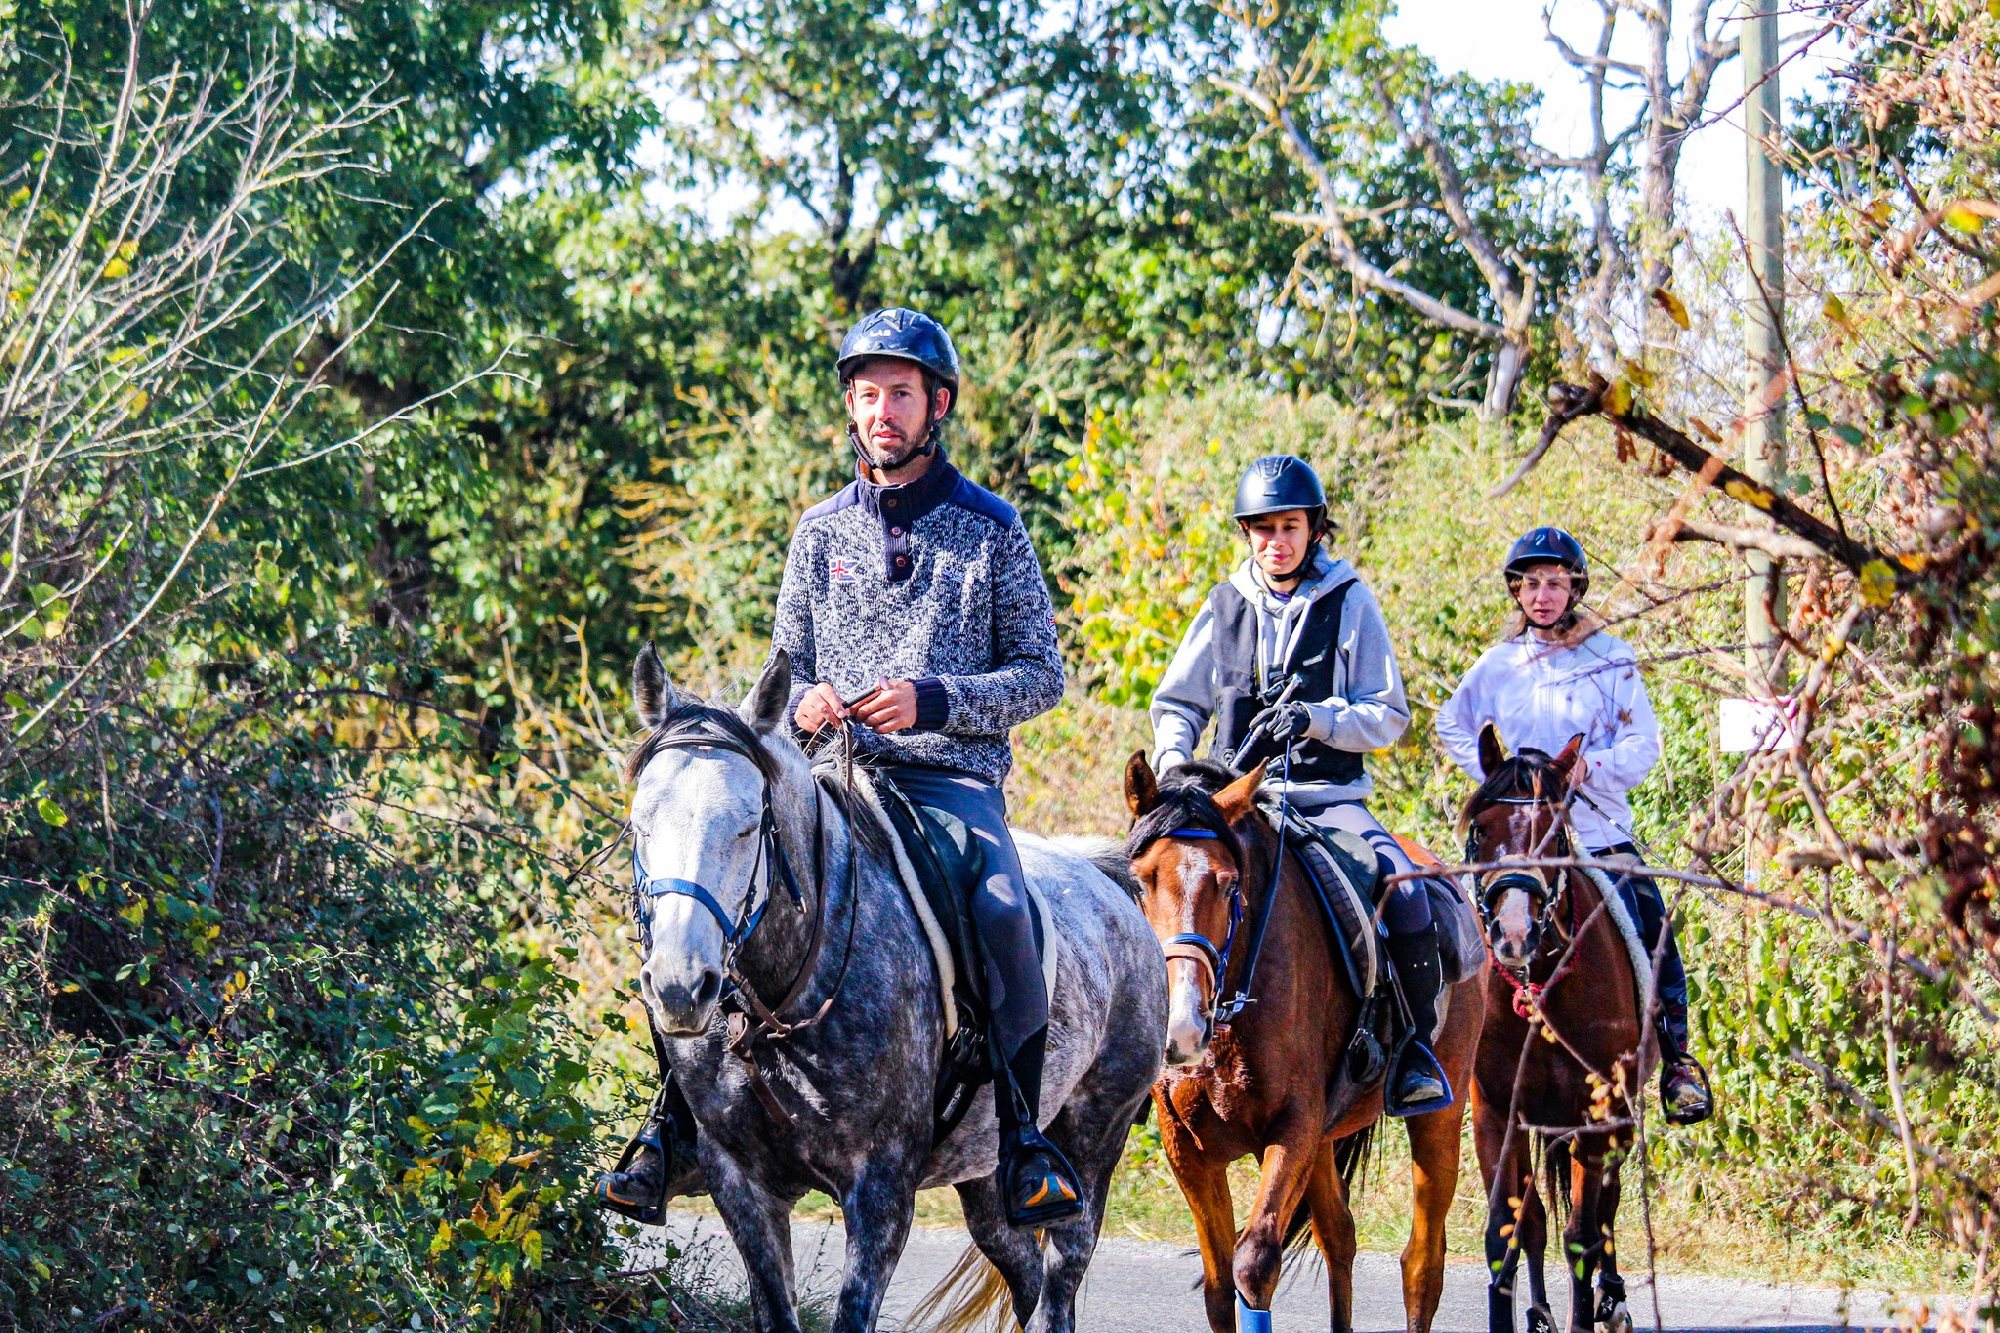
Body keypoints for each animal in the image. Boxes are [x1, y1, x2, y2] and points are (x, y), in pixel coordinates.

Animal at [616, 640, 1168, 1320]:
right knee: (1025, 1273)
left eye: (748, 824)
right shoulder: (741, 1186)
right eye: (640, 824)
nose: (679, 987)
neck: (783, 1004)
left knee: (1059, 1287)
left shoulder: (879, 1190)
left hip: (1093, 1147)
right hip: (984, 1179)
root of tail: (1109, 879)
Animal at [1128, 752, 1488, 1320]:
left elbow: (1253, 1263)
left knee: (1422, 1263)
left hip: (1438, 1119)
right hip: (1324, 1142)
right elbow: (1218, 1286)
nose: (1181, 1027)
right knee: (1338, 1236)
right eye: (1141, 882)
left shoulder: (1292, 1128)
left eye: (1230, 885)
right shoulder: (1188, 1148)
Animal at [1464, 728, 1648, 1328]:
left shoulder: (1598, 1116)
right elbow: (1510, 1230)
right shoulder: (1498, 1113)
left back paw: (1610, 1300)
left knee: (1605, 1208)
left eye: (1554, 829)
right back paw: (1541, 1310)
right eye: (1481, 829)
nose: (1514, 934)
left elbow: (1582, 1235)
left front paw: (1586, 1312)